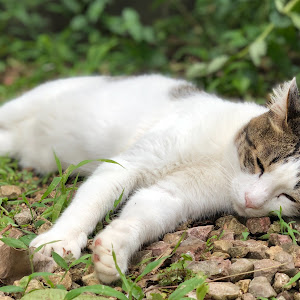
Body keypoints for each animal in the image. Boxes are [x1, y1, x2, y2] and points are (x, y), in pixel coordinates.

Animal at [0, 75, 300, 284]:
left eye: (288, 197)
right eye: (259, 164)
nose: (251, 201)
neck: (221, 163)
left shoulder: (174, 195)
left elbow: (144, 212)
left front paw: (115, 251)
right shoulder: (128, 164)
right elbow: (89, 204)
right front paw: (60, 240)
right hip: (26, 103)